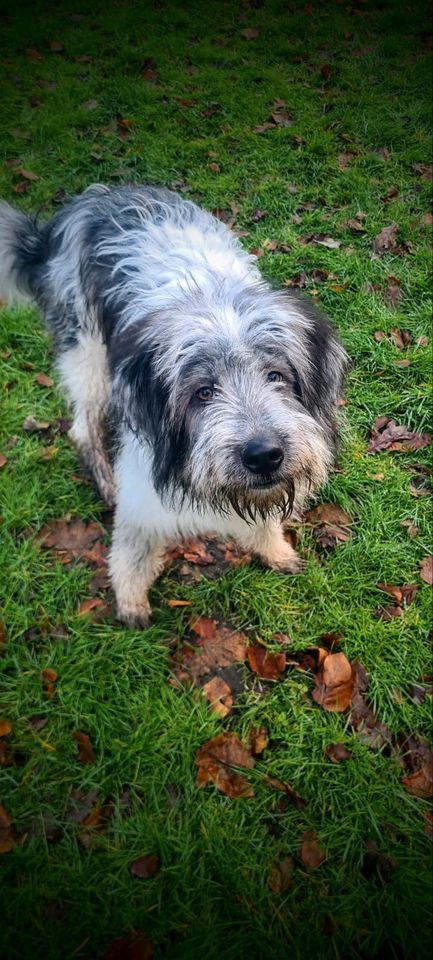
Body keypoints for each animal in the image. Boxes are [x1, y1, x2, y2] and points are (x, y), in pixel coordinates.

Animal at [0, 184, 344, 628]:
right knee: (82, 426)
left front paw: (274, 550)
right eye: (203, 392)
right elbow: (132, 549)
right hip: (88, 355)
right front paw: (130, 600)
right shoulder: (142, 482)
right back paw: (104, 479)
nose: (264, 455)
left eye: (276, 376)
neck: (207, 298)